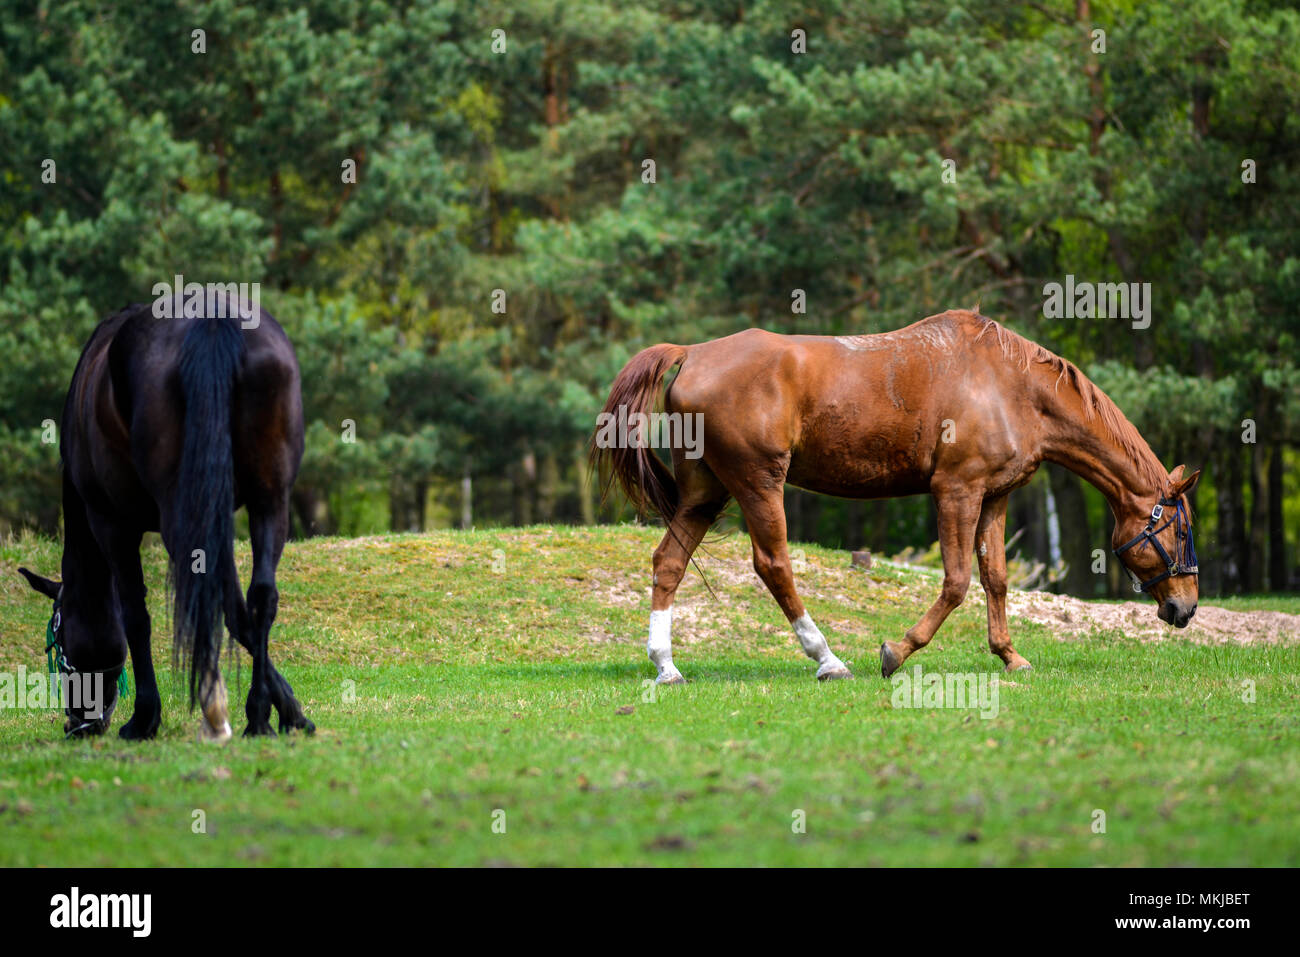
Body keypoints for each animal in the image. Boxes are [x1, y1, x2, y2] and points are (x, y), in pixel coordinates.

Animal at [17, 302, 312, 738]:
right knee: (260, 598)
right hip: (269, 500)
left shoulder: (111, 523)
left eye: (58, 641)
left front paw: (145, 717)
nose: (77, 724)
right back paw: (258, 714)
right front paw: (290, 711)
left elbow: (135, 616)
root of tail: (213, 321)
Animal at [590, 310, 1196, 686]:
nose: (1186, 608)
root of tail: (692, 353)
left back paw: (666, 665)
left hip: (704, 492)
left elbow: (996, 579)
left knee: (669, 562)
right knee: (773, 565)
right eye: (1180, 529)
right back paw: (827, 658)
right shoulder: (957, 491)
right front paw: (897, 652)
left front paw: (1010, 655)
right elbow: (956, 582)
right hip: (758, 483)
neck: (1011, 384)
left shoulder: (994, 497)